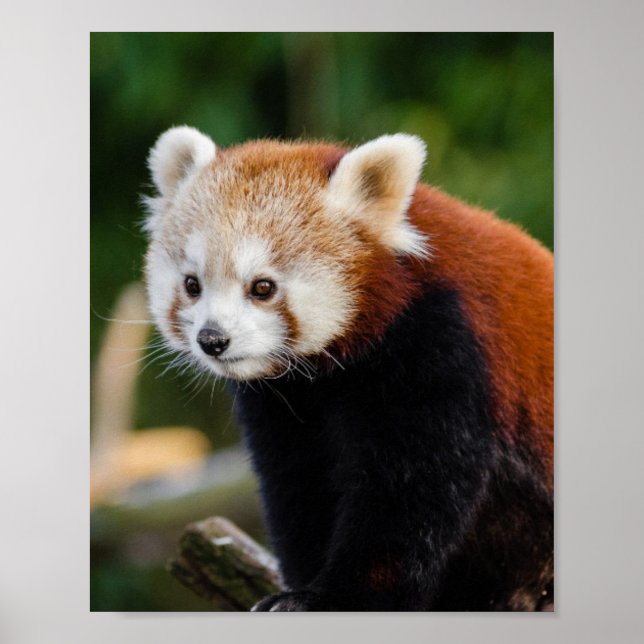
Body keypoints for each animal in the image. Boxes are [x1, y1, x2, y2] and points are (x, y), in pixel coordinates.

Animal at [143, 126, 553, 611]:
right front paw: (299, 586)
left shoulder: (443, 344)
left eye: (262, 287)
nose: (212, 339)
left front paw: (340, 597)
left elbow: (408, 494)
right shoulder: (287, 402)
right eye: (192, 285)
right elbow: (299, 483)